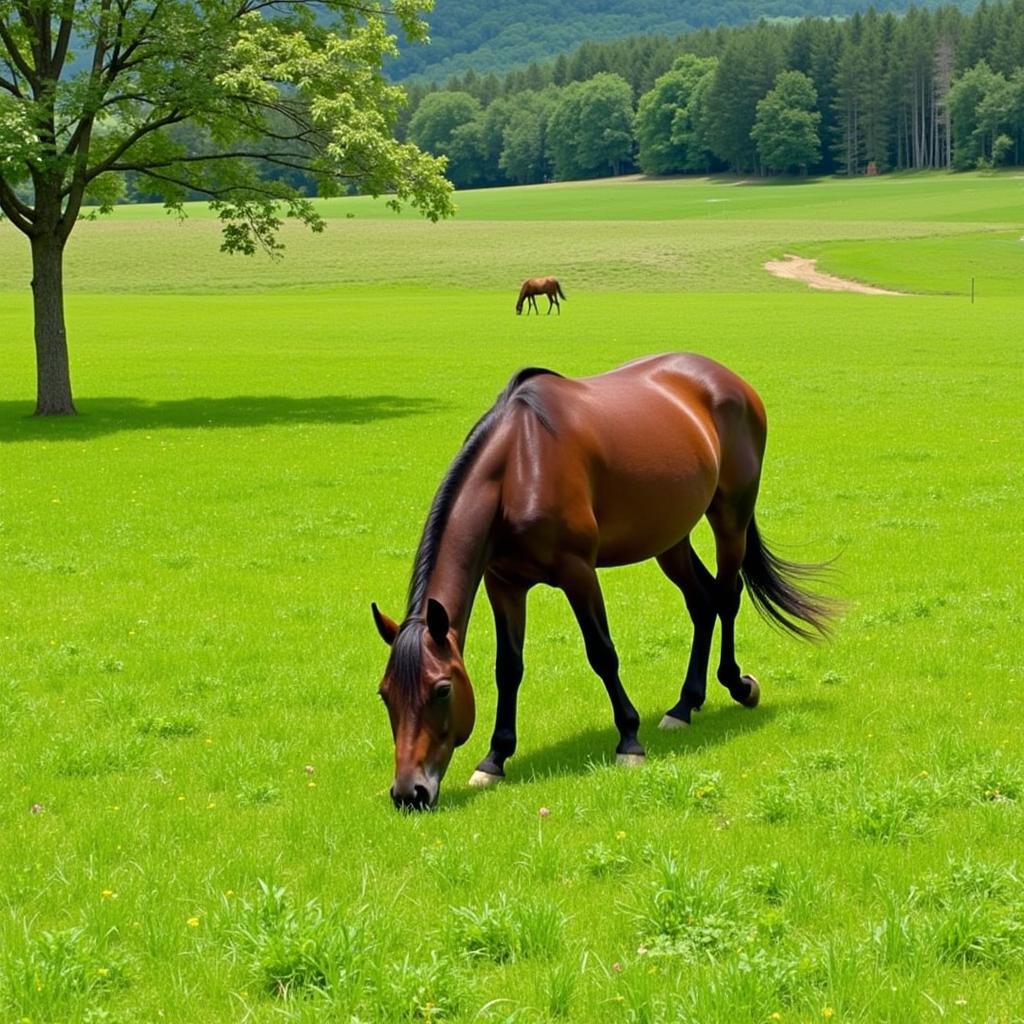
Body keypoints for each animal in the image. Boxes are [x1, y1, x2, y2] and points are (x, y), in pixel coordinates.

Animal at [372, 356, 835, 811]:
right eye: (385, 694)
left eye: (441, 690)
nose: (409, 793)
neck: (519, 466)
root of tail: (729, 379)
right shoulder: (503, 584)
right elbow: (509, 668)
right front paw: (495, 758)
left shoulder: (578, 572)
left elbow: (602, 653)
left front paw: (629, 740)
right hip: (671, 538)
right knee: (702, 603)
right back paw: (684, 705)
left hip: (730, 518)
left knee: (726, 596)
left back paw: (737, 685)